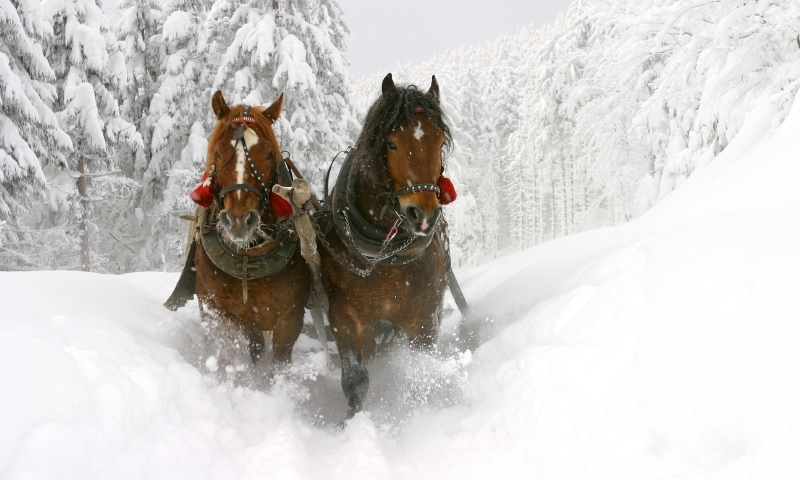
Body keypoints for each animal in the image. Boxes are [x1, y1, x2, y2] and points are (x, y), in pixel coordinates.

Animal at [165, 91, 311, 374]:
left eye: (268, 155)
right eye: (218, 153)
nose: (239, 220)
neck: (247, 260)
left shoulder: (290, 318)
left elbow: (278, 364)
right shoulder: (216, 310)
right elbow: (227, 359)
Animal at [318, 73, 455, 419]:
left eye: (440, 143)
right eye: (391, 144)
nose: (423, 215)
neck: (384, 256)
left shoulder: (425, 318)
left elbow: (421, 374)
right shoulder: (344, 317)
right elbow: (355, 380)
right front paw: (351, 424)